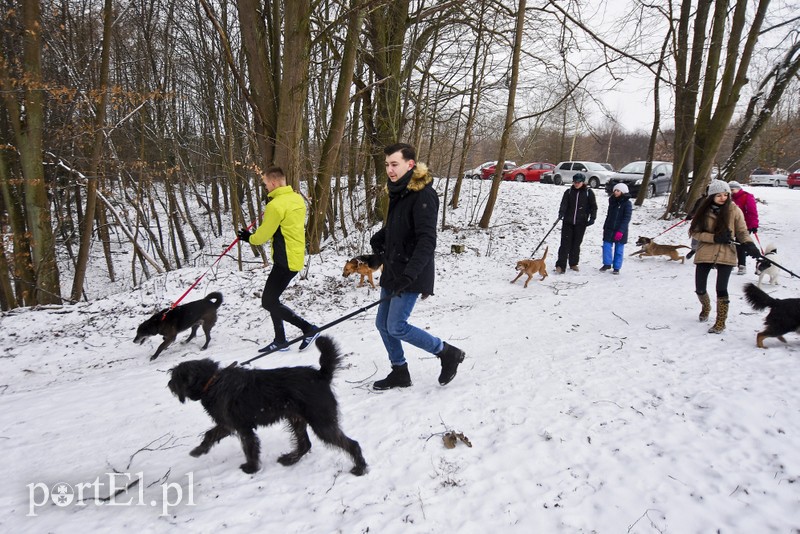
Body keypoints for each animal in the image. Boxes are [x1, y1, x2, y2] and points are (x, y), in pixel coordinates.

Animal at [171, 338, 368, 480]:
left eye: (175, 377)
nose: (169, 384)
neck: (212, 381)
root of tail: (321, 375)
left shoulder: (242, 428)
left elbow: (249, 447)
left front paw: (251, 468)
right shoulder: (227, 424)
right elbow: (210, 434)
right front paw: (199, 450)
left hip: (322, 423)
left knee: (352, 444)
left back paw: (360, 468)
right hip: (297, 419)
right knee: (305, 444)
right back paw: (290, 459)